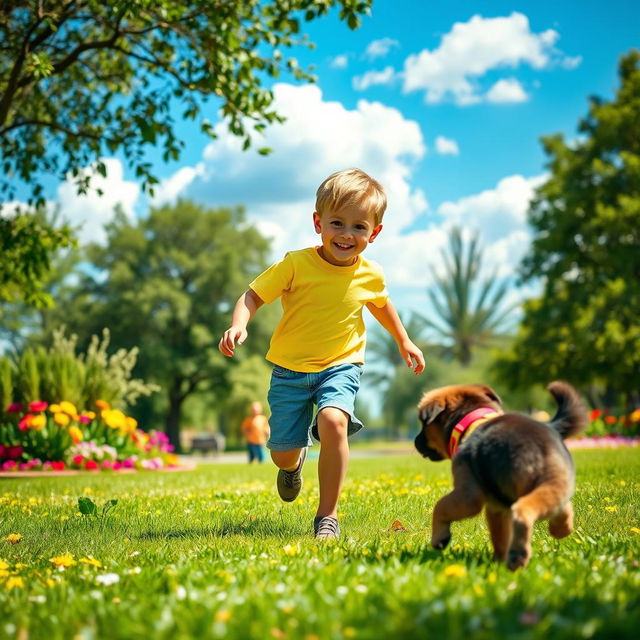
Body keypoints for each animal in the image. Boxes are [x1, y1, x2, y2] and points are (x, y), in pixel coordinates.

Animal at [416, 380, 584, 568]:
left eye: (424, 425)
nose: (415, 442)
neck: (472, 420)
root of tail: (536, 448)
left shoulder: (471, 496)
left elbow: (441, 506)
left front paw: (440, 538)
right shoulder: (498, 505)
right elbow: (501, 534)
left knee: (524, 511)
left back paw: (518, 555)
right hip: (556, 482)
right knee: (563, 506)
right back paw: (560, 530)